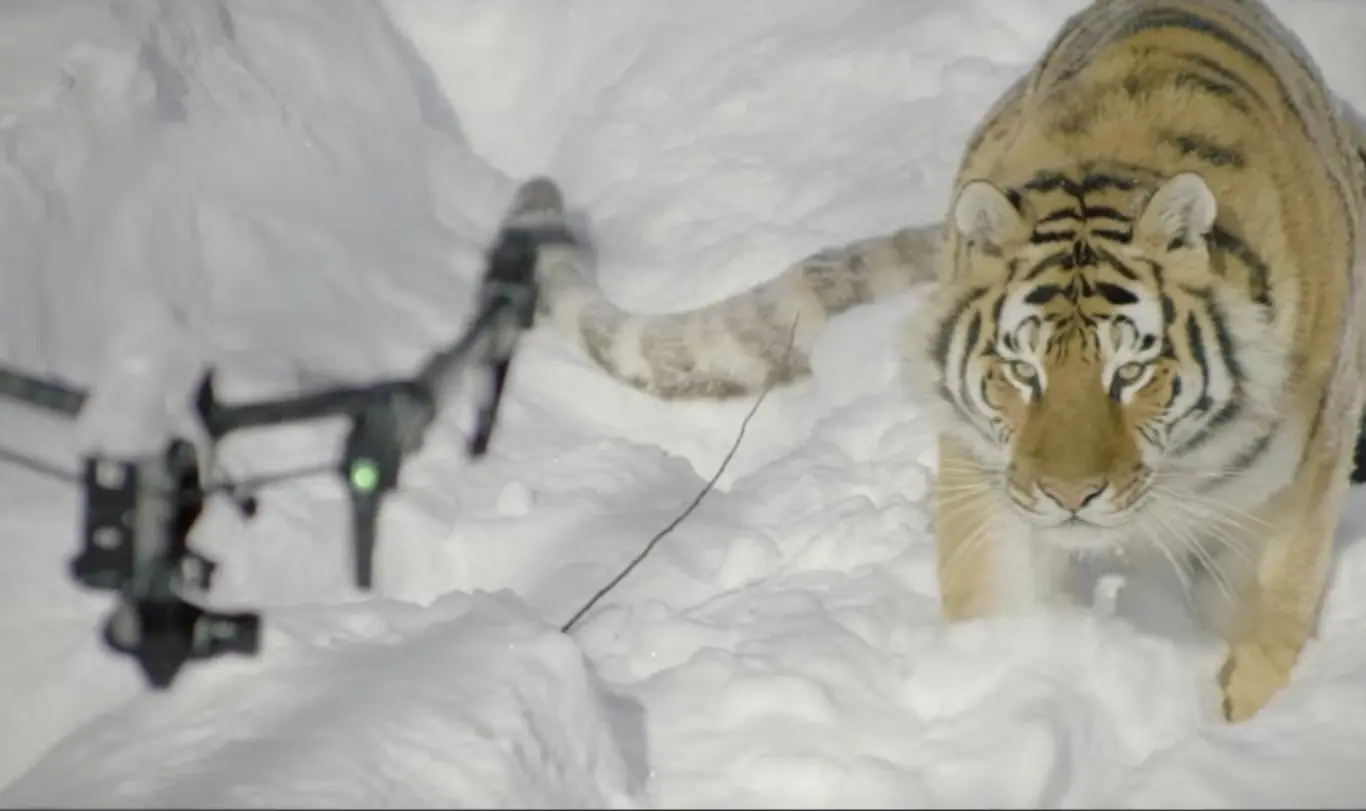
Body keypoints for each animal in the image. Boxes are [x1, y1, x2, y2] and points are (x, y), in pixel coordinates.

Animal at [521, 0, 1366, 723]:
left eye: (1129, 374)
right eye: (1023, 372)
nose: (1069, 498)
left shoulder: (1293, 482)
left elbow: (1268, 615)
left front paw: (1241, 719)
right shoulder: (982, 471)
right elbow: (996, 598)